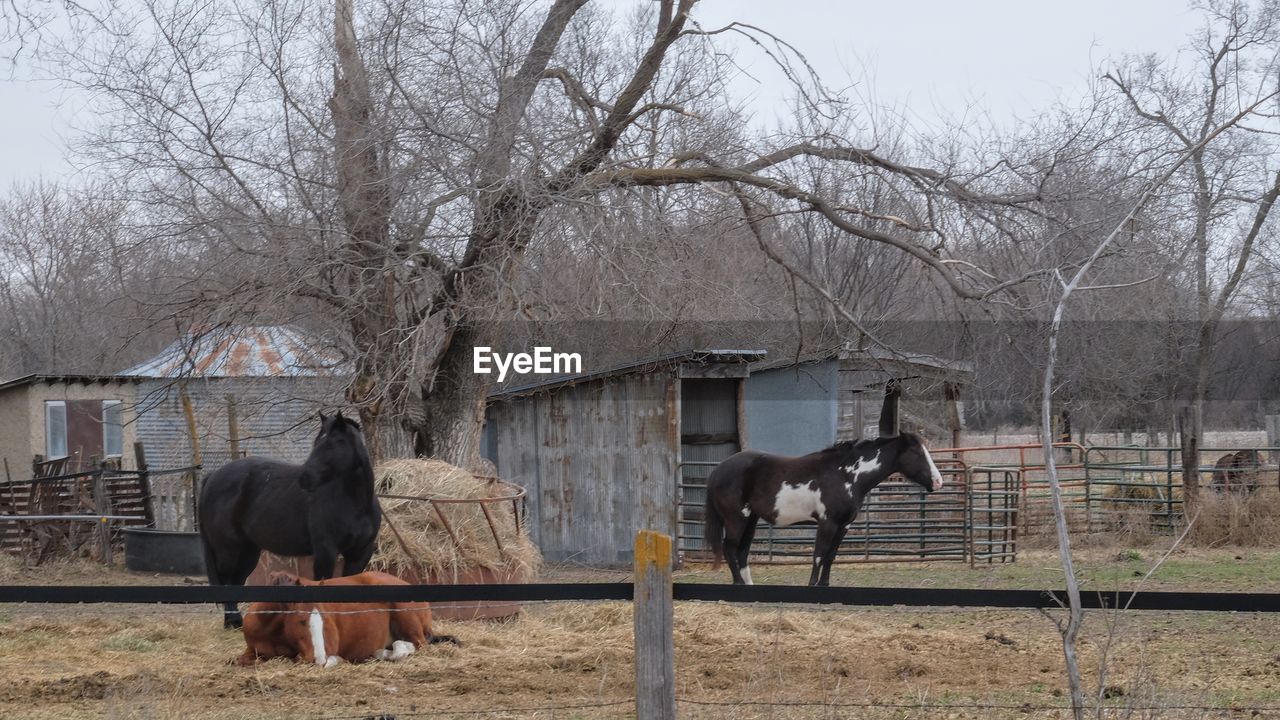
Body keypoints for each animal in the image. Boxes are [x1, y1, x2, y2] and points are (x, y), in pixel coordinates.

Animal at [198, 412, 378, 625]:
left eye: (334, 443)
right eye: (317, 442)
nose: (304, 478)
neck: (355, 502)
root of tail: (213, 476)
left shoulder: (360, 553)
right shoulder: (325, 551)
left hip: (248, 552)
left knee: (237, 581)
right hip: (228, 550)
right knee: (226, 581)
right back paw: (233, 621)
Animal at [701, 381, 942, 584]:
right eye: (916, 452)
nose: (938, 481)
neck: (846, 475)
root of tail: (718, 471)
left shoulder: (843, 525)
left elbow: (830, 557)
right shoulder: (827, 523)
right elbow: (818, 556)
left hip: (750, 519)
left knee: (741, 553)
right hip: (736, 519)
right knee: (730, 549)